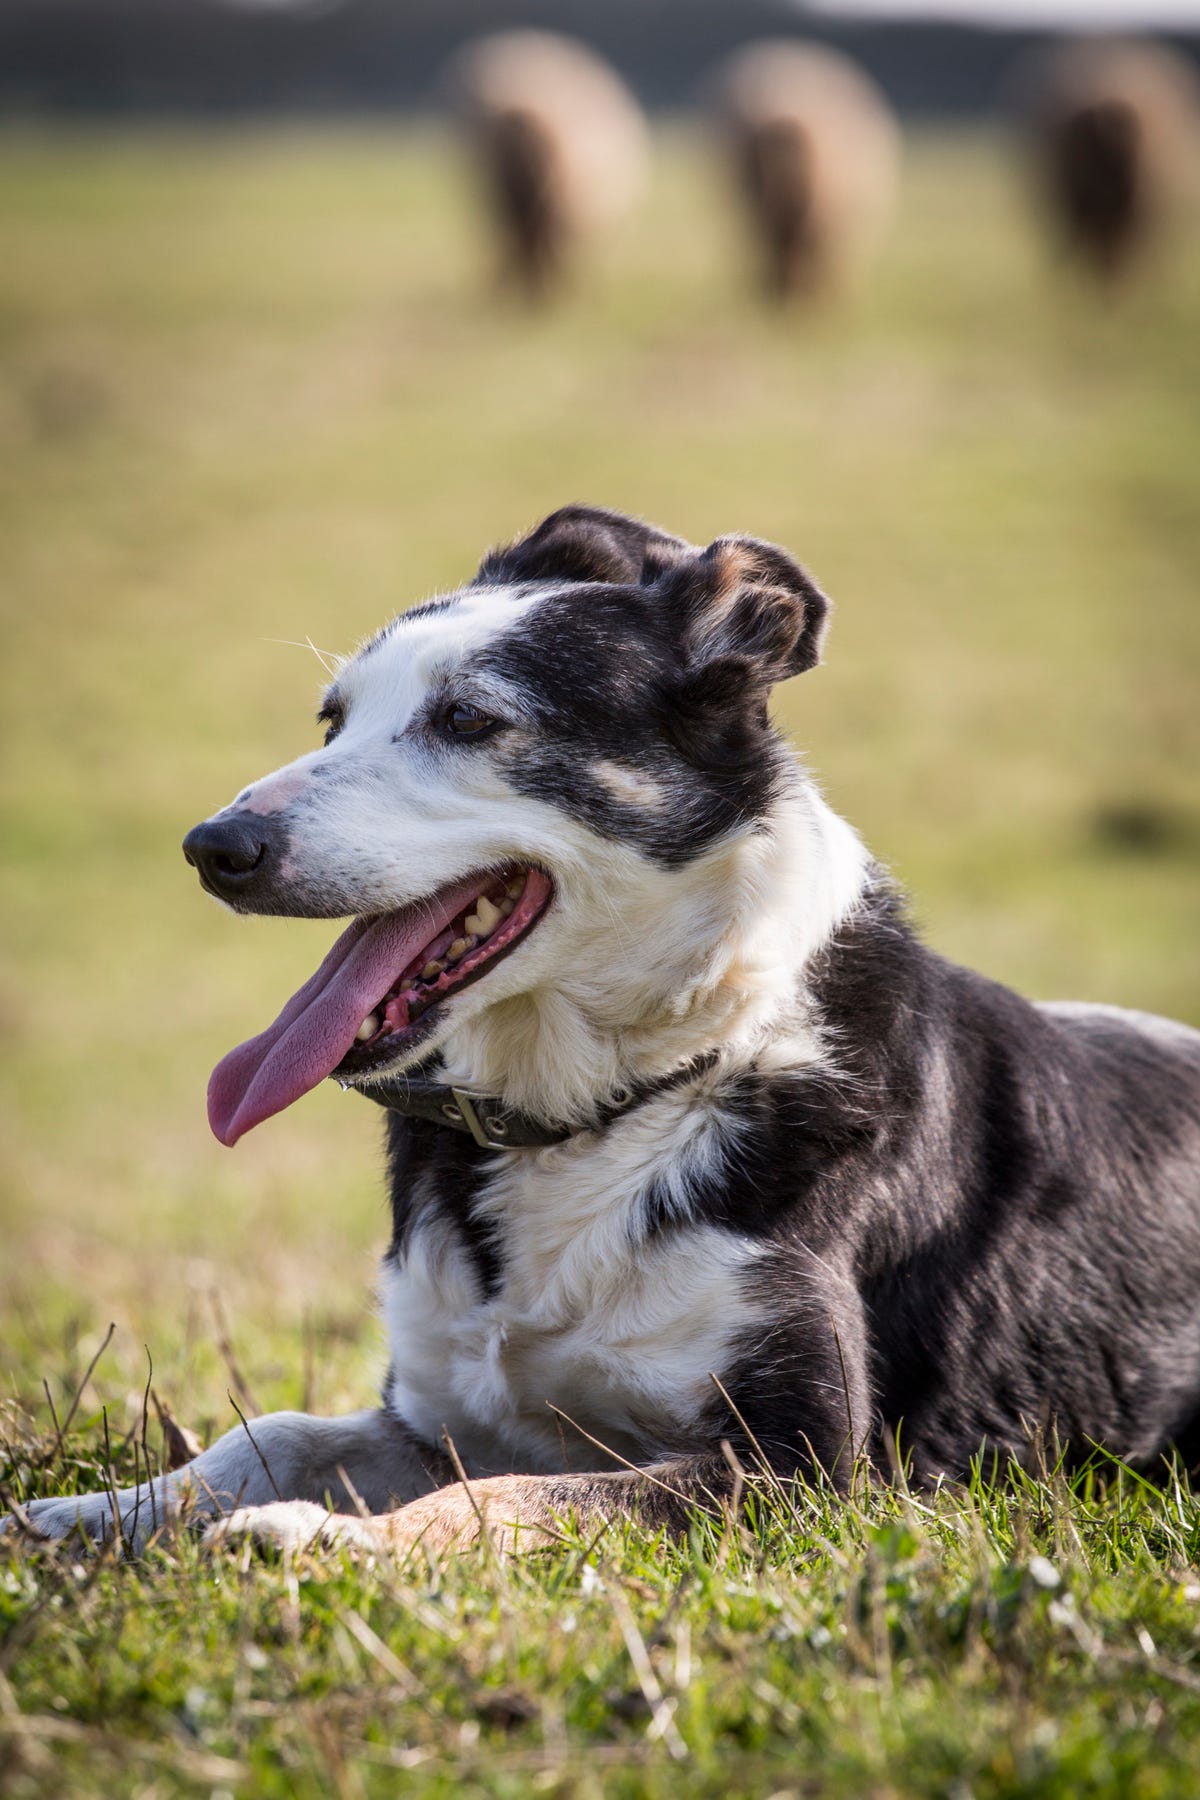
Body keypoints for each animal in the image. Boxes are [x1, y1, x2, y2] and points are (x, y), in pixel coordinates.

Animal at [9, 511, 1200, 1562]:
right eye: (332, 720)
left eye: (469, 720)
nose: (215, 847)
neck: (608, 1104)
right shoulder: (440, 1418)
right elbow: (274, 1433)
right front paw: (102, 1510)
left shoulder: (796, 1469)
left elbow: (504, 1496)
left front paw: (328, 1536)